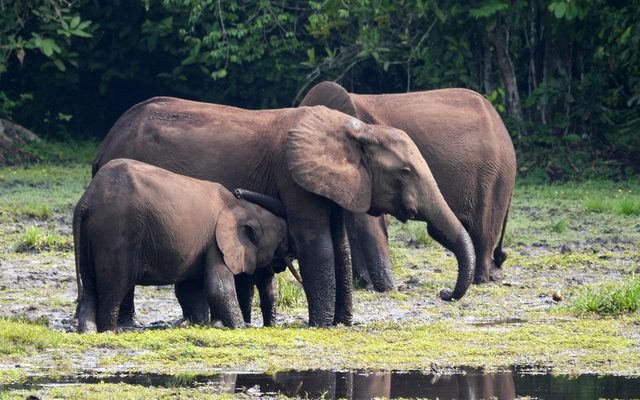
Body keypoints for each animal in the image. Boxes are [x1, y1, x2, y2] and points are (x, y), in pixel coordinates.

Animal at [73, 158, 290, 332]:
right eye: (282, 236)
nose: (238, 191)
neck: (245, 208)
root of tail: (86, 201)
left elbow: (190, 288)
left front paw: (201, 325)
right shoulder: (216, 242)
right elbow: (218, 288)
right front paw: (240, 328)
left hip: (90, 238)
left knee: (90, 287)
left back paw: (88, 331)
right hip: (116, 235)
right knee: (114, 287)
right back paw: (110, 331)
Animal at [92, 98, 476, 327]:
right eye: (406, 172)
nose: (444, 294)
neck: (354, 131)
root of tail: (106, 141)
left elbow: (339, 245)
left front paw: (343, 323)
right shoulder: (293, 177)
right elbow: (318, 245)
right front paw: (321, 325)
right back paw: (126, 325)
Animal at [300, 81, 516, 289]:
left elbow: (367, 222)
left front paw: (376, 286)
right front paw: (361, 284)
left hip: (494, 176)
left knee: (483, 230)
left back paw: (481, 280)